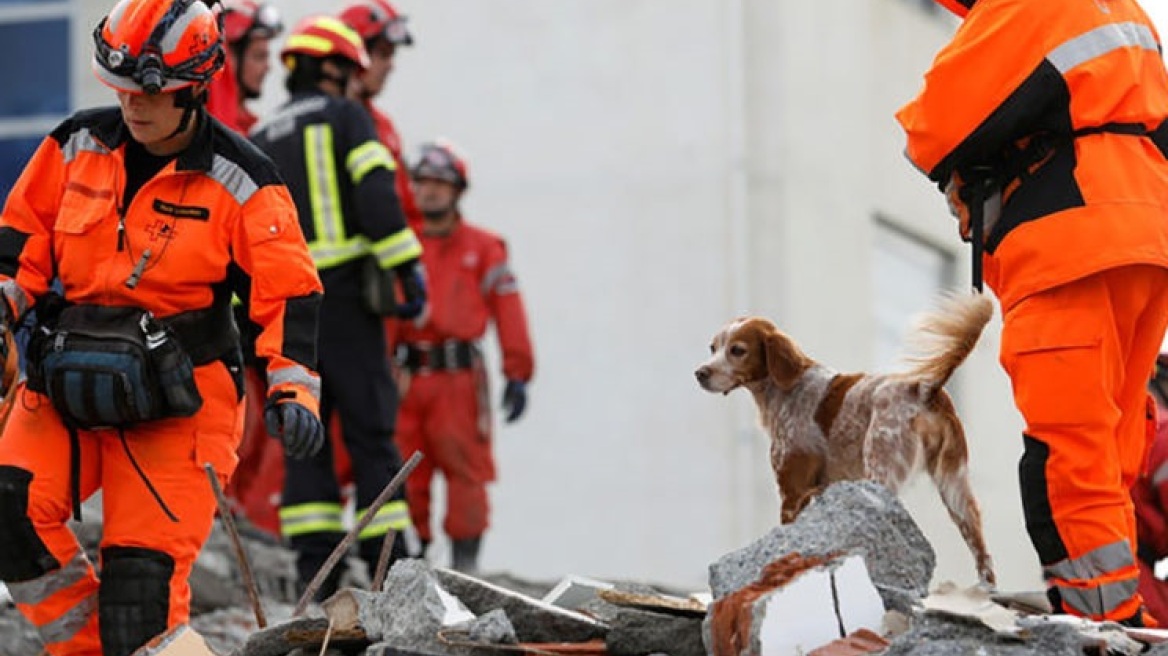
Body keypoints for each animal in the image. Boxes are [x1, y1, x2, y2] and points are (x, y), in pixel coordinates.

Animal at [691, 294, 995, 583]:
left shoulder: (792, 490)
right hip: (955, 487)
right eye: (713, 348)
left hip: (880, 473)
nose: (700, 373)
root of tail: (923, 388)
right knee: (984, 556)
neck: (786, 390)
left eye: (737, 350)